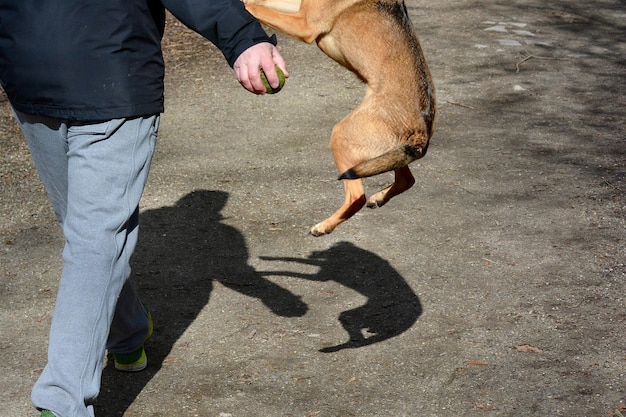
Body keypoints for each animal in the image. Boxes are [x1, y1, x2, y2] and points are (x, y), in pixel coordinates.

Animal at [244, 0, 434, 236]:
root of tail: (422, 131)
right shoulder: (300, 10)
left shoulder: (304, 25)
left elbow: (254, 7)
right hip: (385, 152)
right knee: (407, 180)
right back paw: (379, 197)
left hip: (342, 136)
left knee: (356, 197)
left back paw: (325, 226)